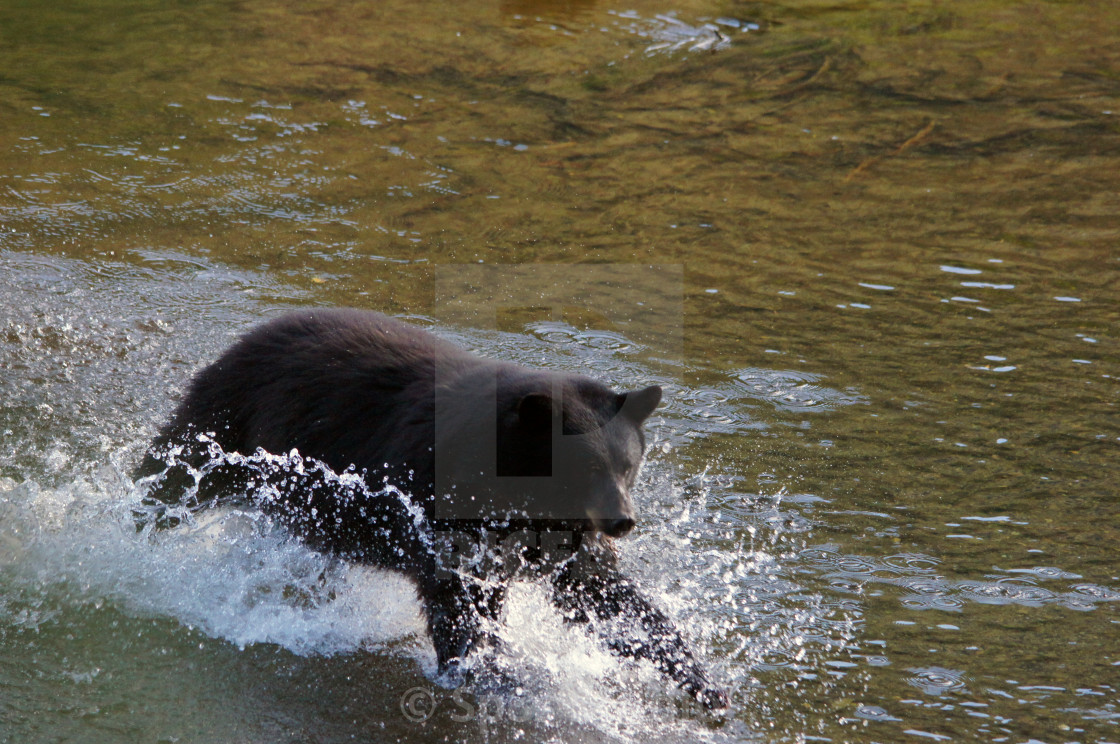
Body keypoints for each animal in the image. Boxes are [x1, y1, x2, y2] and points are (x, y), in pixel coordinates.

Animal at [133, 307, 725, 708]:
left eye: (628, 465)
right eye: (587, 469)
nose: (622, 520)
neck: (513, 491)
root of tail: (251, 334)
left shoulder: (563, 537)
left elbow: (603, 594)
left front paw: (703, 683)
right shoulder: (446, 504)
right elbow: (458, 594)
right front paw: (491, 672)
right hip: (228, 422)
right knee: (172, 478)